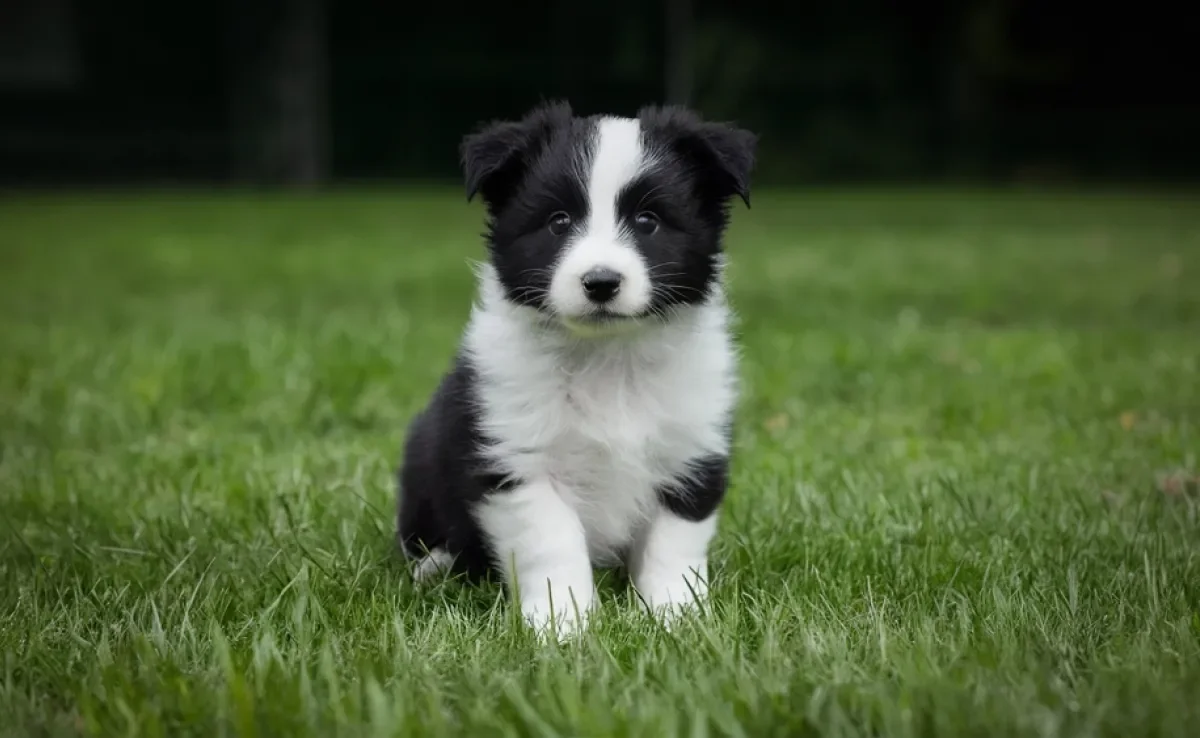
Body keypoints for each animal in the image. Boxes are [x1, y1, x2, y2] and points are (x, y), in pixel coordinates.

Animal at [398, 100, 753, 638]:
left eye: (648, 220)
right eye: (559, 220)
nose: (601, 282)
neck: (607, 360)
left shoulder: (691, 454)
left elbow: (673, 545)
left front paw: (676, 617)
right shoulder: (516, 458)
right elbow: (552, 542)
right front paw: (561, 625)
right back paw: (432, 569)